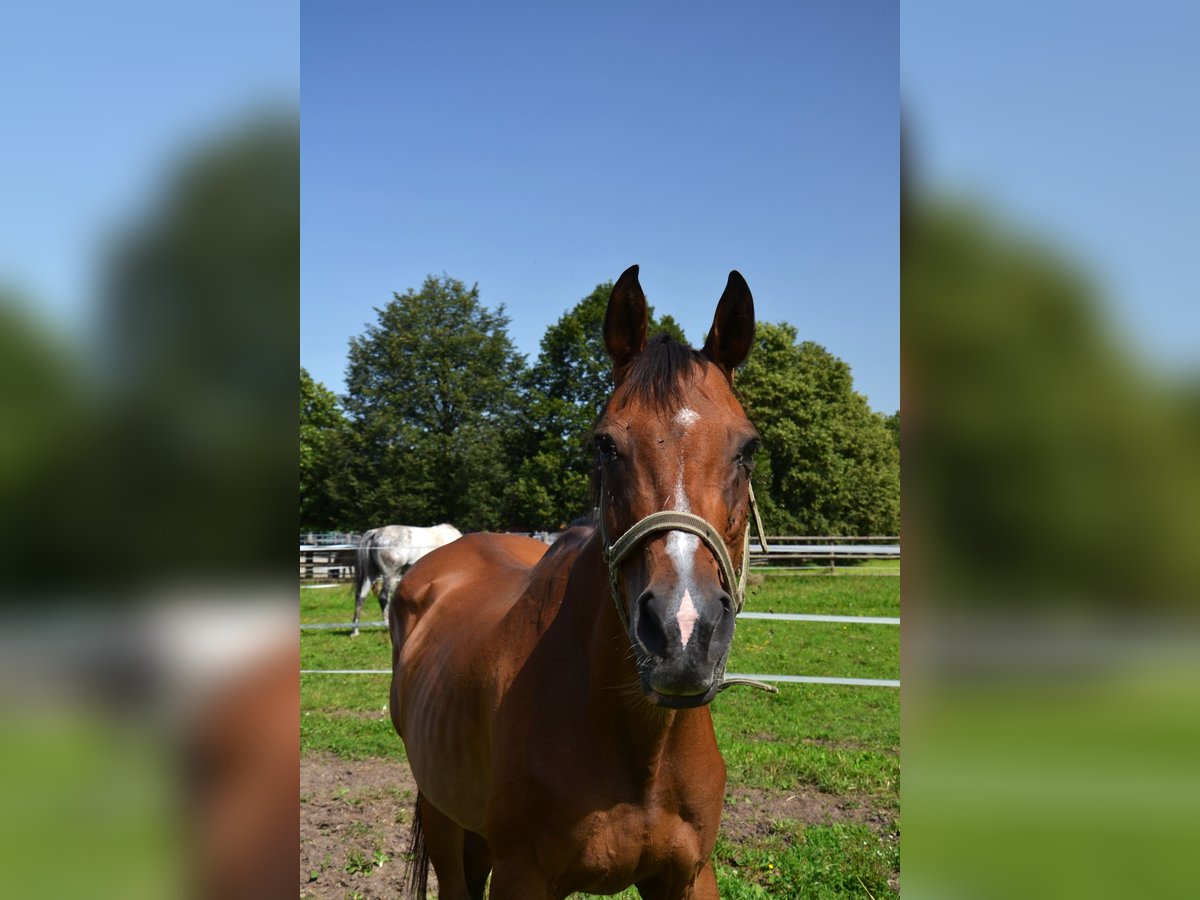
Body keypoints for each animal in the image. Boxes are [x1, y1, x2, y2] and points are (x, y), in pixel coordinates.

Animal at [391, 267, 768, 900]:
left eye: (748, 448)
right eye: (605, 443)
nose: (683, 632)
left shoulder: (690, 874)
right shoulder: (524, 876)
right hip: (441, 811)